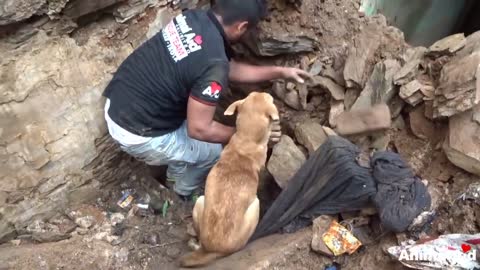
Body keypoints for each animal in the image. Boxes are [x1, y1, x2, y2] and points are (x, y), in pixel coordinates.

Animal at [179, 92, 278, 266]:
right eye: (269, 98)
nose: (267, 92)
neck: (246, 141)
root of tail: (211, 249)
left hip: (200, 202)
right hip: (255, 206)